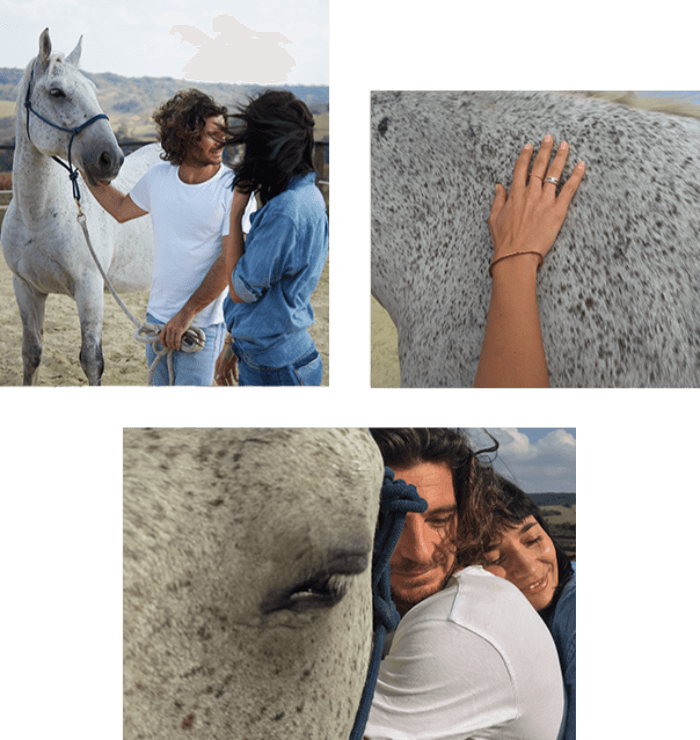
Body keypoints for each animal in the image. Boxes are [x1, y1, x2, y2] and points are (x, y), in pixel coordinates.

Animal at [1, 28, 161, 386]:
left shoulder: (90, 291)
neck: (38, 216)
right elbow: (31, 353)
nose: (111, 159)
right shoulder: (26, 289)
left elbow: (91, 360)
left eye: (92, 90)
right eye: (57, 92)